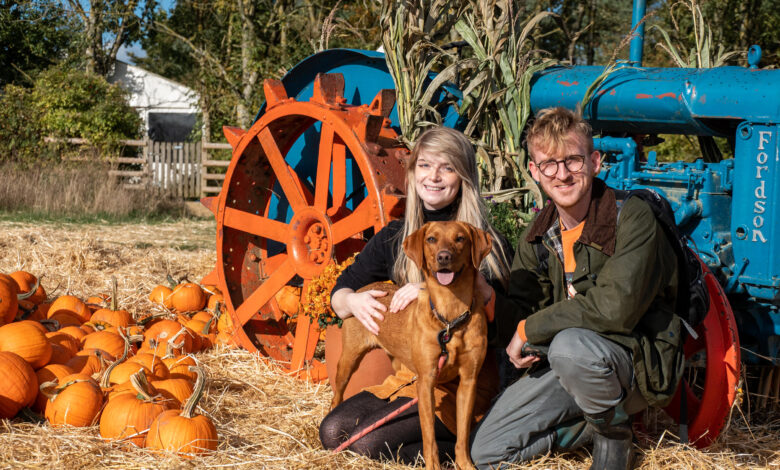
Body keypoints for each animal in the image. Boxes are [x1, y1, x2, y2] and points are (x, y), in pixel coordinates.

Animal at [330, 221, 490, 470]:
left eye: (460, 238)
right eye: (431, 239)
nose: (444, 256)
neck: (450, 317)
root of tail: (365, 288)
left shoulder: (468, 381)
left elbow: (462, 436)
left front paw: (464, 464)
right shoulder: (427, 381)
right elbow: (429, 438)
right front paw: (433, 467)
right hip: (348, 359)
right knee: (337, 394)